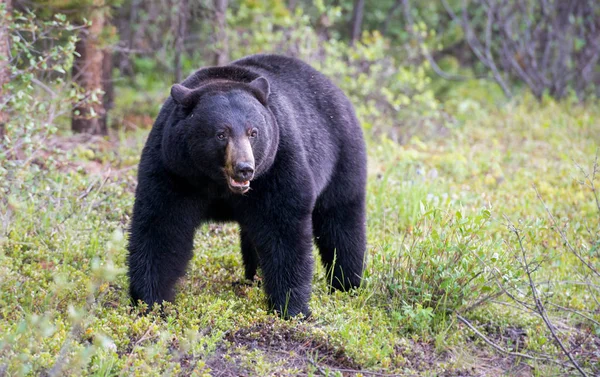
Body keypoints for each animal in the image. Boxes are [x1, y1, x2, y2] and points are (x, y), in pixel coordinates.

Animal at [127, 53, 366, 318]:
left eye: (254, 132)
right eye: (221, 133)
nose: (245, 168)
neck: (216, 184)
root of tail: (334, 88)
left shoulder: (276, 166)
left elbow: (283, 228)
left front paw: (290, 307)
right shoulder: (174, 169)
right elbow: (162, 226)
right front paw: (149, 301)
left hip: (342, 154)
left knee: (341, 220)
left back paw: (346, 283)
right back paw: (254, 278)